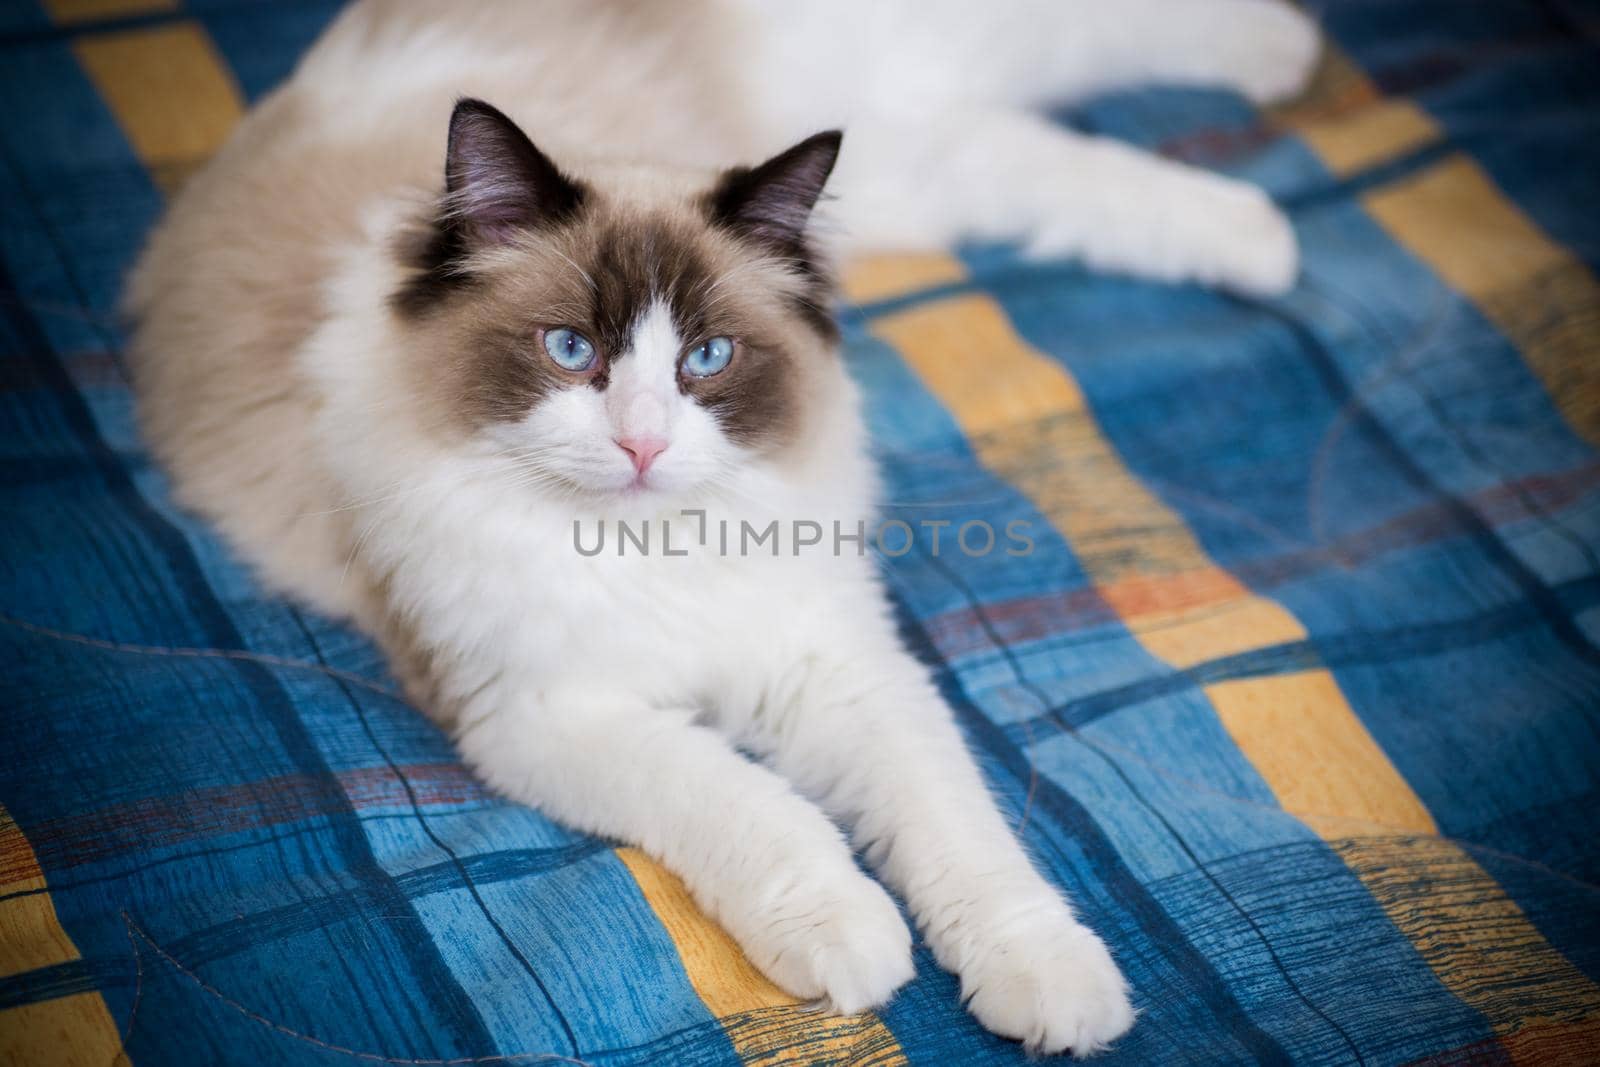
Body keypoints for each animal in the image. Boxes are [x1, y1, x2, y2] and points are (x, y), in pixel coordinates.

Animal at [131, 0, 1318, 1055]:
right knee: (1026, 142)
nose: (643, 445)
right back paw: (1273, 187)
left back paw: (1280, 130)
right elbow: (762, 808)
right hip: (907, 163)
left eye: (706, 360)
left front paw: (1051, 985)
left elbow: (965, 840)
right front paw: (855, 943)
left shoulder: (838, 668)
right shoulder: (548, 713)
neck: (654, 550)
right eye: (571, 351)